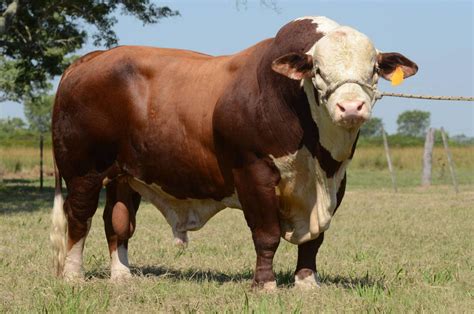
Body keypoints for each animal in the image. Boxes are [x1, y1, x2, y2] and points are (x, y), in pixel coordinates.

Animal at [50, 15, 416, 288]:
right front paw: (264, 284)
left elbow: (314, 240)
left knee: (118, 222)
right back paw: (73, 276)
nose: (351, 107)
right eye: (318, 70)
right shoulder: (253, 172)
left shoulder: (336, 180)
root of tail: (89, 60)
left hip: (124, 175)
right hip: (83, 171)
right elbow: (266, 235)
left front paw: (306, 282)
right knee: (79, 218)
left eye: (373, 70)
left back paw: (122, 275)